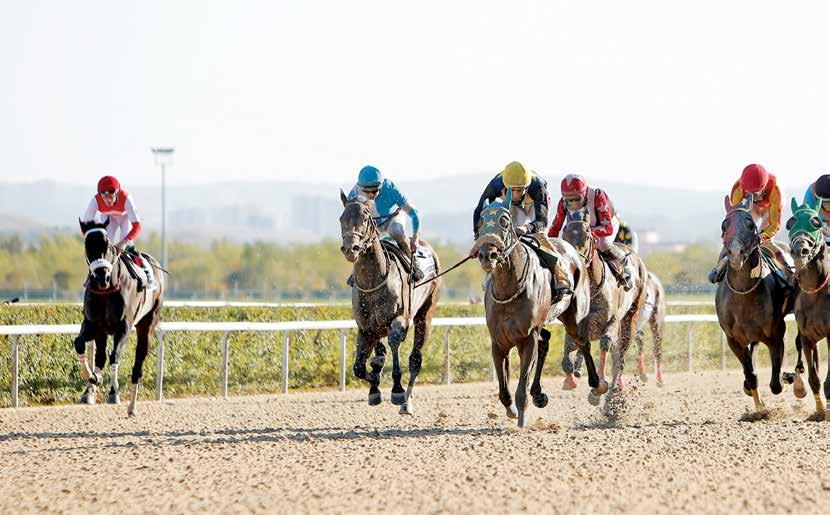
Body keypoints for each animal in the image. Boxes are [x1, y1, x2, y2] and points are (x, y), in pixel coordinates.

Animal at [338, 192, 442, 416]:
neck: (374, 281)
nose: (351, 249)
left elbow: (394, 346)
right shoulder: (366, 327)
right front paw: (374, 387)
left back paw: (407, 402)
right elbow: (359, 368)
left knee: (415, 360)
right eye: (341, 218)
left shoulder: (399, 320)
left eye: (365, 219)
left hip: (425, 315)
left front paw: (396, 390)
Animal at [474, 189, 600, 428]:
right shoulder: (499, 342)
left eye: (504, 221)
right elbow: (504, 389)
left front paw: (522, 419)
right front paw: (512, 410)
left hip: (574, 316)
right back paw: (539, 394)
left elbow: (521, 386)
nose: (487, 254)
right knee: (546, 341)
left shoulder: (528, 337)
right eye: (481, 222)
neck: (509, 289)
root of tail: (573, 251)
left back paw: (597, 385)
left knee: (583, 342)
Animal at [560, 210, 648, 408]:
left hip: (630, 320)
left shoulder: (612, 322)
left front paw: (598, 388)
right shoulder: (576, 325)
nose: (574, 262)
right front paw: (570, 379)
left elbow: (605, 344)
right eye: (564, 236)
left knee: (619, 359)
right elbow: (568, 353)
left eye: (587, 235)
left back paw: (613, 394)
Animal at [716, 196, 792, 414]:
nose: (735, 253)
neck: (744, 295)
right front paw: (758, 407)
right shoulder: (733, 340)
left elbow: (776, 384)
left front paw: (787, 377)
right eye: (724, 225)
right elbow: (751, 376)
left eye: (751, 225)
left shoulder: (776, 336)